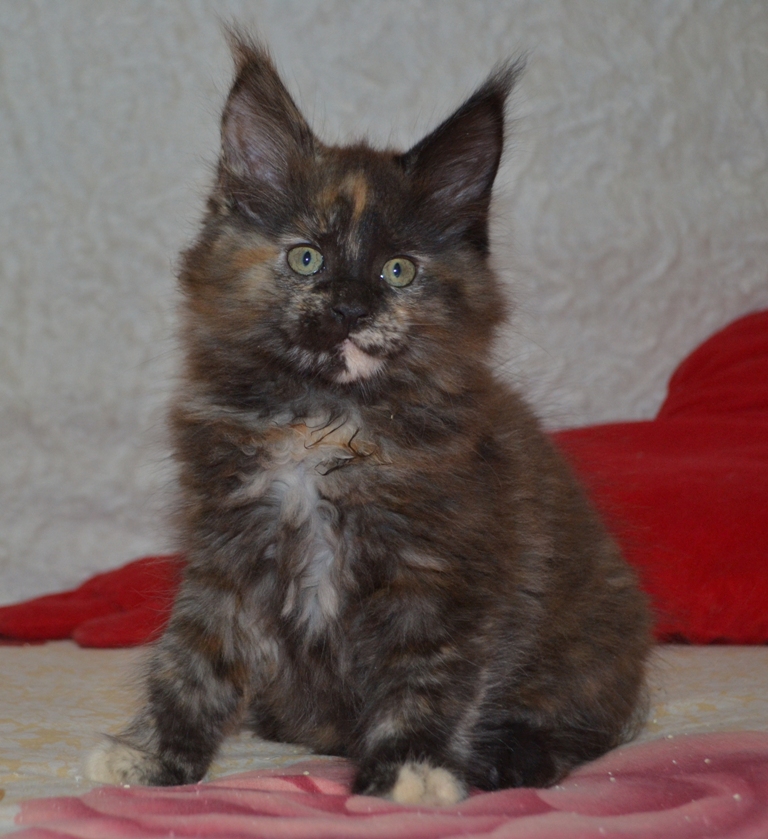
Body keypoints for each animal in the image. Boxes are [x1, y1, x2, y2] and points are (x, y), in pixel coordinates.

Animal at [86, 31, 650, 806]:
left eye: (397, 271)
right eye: (306, 257)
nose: (352, 306)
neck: (322, 418)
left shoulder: (440, 572)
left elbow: (428, 673)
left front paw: (407, 770)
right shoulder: (228, 553)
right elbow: (193, 658)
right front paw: (155, 756)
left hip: (590, 649)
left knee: (585, 728)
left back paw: (507, 758)